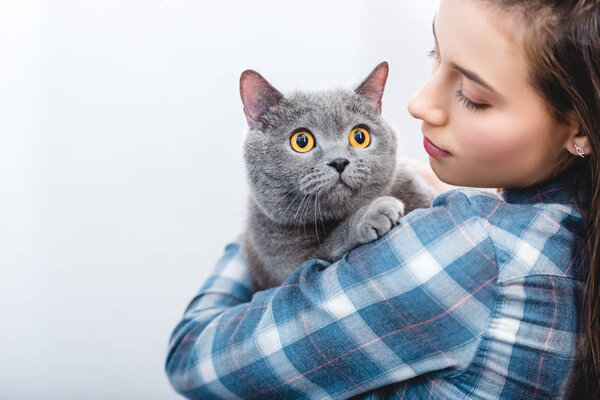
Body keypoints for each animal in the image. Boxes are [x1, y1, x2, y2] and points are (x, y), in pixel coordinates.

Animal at [239, 61, 436, 290]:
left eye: (360, 136)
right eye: (301, 141)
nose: (339, 161)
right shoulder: (290, 268)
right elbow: (327, 248)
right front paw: (373, 211)